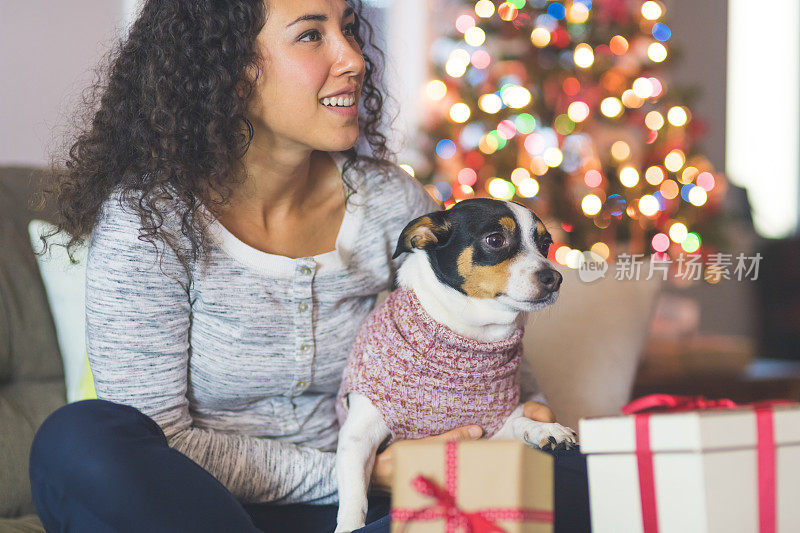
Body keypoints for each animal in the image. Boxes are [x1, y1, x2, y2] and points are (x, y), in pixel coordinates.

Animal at [332, 197, 576, 528]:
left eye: (546, 244)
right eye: (495, 240)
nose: (555, 278)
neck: (472, 335)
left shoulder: (488, 432)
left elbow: (520, 421)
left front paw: (545, 429)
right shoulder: (357, 438)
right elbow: (355, 497)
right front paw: (350, 527)